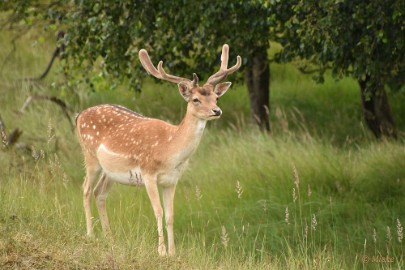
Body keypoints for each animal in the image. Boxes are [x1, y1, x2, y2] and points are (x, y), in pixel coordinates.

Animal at [75, 44, 240, 255]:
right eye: (195, 99)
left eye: (216, 98)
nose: (216, 111)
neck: (169, 150)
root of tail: (79, 116)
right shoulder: (148, 173)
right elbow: (158, 211)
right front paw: (161, 251)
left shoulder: (171, 180)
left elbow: (170, 215)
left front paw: (173, 252)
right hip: (90, 156)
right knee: (86, 189)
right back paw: (90, 234)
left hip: (110, 171)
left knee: (99, 193)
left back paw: (109, 237)